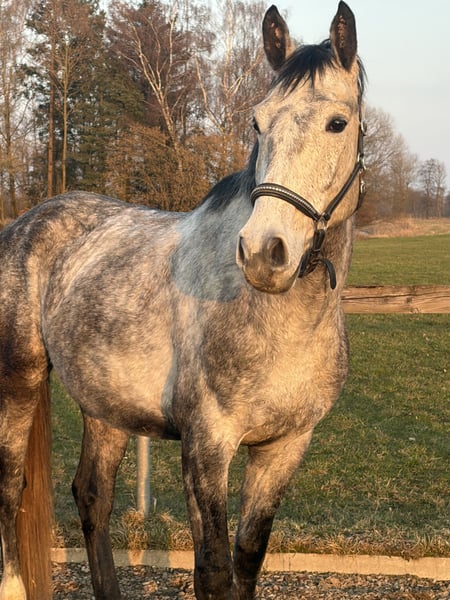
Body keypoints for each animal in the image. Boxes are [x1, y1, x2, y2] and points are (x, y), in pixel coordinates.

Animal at [0, 3, 366, 599]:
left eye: (338, 123)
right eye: (258, 122)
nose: (264, 252)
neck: (279, 321)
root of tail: (27, 222)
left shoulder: (284, 448)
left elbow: (247, 560)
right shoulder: (207, 446)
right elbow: (213, 569)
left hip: (105, 406)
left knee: (92, 496)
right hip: (19, 380)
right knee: (9, 486)